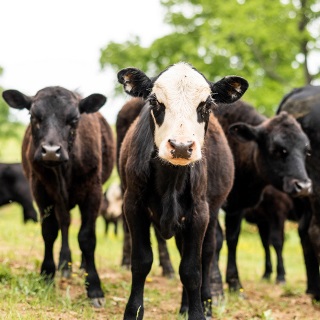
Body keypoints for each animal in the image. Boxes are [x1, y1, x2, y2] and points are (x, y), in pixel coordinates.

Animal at [2, 86, 115, 306]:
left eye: (75, 119)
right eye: (33, 116)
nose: (51, 151)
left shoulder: (93, 191)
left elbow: (87, 237)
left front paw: (94, 288)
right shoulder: (40, 191)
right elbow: (49, 231)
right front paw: (47, 274)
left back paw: (81, 265)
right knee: (64, 224)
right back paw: (65, 265)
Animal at [117, 61, 248, 318]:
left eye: (207, 104)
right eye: (155, 101)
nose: (180, 146)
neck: (171, 181)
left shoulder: (199, 213)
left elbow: (192, 270)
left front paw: (198, 312)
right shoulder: (133, 206)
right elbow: (141, 262)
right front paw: (133, 311)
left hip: (211, 213)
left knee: (207, 253)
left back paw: (204, 303)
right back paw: (184, 305)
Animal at [214, 100, 312, 296]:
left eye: (306, 151)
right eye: (277, 150)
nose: (304, 186)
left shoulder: (245, 208)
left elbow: (236, 239)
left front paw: (235, 283)